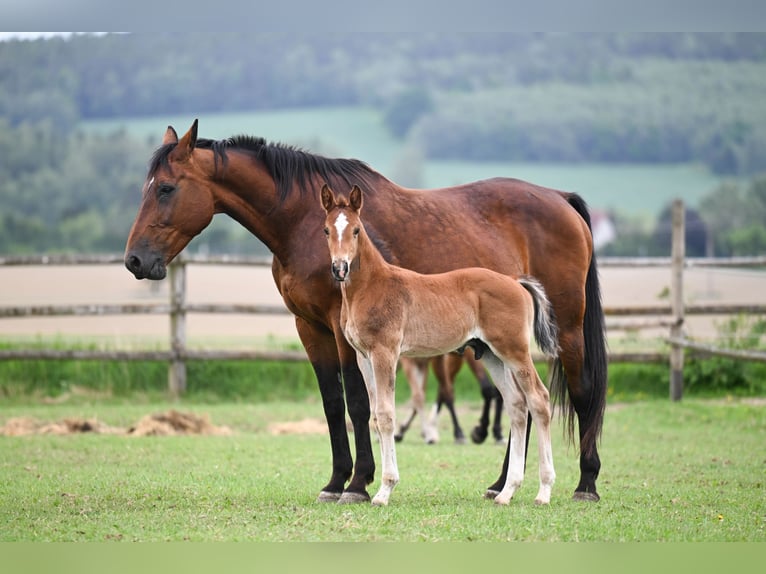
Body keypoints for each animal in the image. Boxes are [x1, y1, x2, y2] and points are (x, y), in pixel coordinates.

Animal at [321, 183, 558, 505]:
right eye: (326, 230)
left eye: (356, 230)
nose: (340, 269)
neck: (370, 287)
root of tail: (515, 282)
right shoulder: (363, 357)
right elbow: (374, 416)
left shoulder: (385, 353)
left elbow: (386, 414)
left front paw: (385, 490)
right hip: (492, 356)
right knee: (517, 406)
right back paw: (506, 492)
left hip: (514, 350)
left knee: (539, 399)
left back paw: (543, 491)